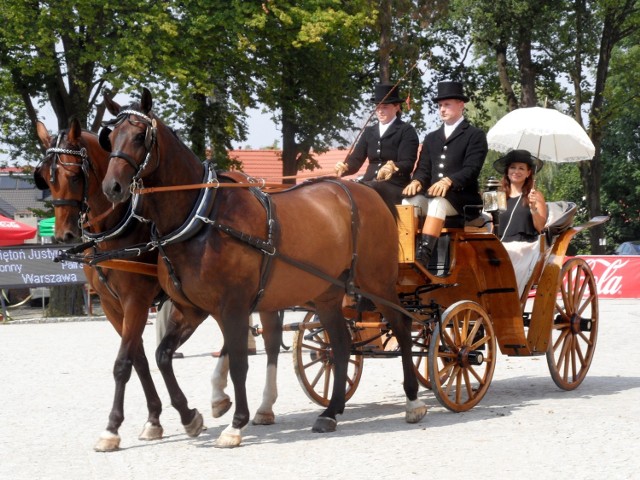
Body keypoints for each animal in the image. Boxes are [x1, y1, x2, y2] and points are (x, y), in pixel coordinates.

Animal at [33, 119, 284, 450]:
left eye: (74, 176)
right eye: (46, 178)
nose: (64, 234)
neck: (120, 226)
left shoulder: (136, 301)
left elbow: (123, 362)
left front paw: (113, 428)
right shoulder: (113, 306)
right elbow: (138, 360)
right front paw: (154, 419)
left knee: (270, 340)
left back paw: (264, 406)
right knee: (233, 337)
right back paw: (219, 395)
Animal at [100, 87, 428, 446]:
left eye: (139, 136)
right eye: (110, 137)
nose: (112, 187)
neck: (202, 217)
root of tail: (366, 191)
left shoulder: (232, 306)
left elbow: (239, 363)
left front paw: (235, 423)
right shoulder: (193, 308)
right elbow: (162, 355)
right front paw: (190, 416)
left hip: (378, 284)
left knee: (402, 328)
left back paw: (412, 401)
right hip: (328, 294)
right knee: (340, 345)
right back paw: (330, 412)